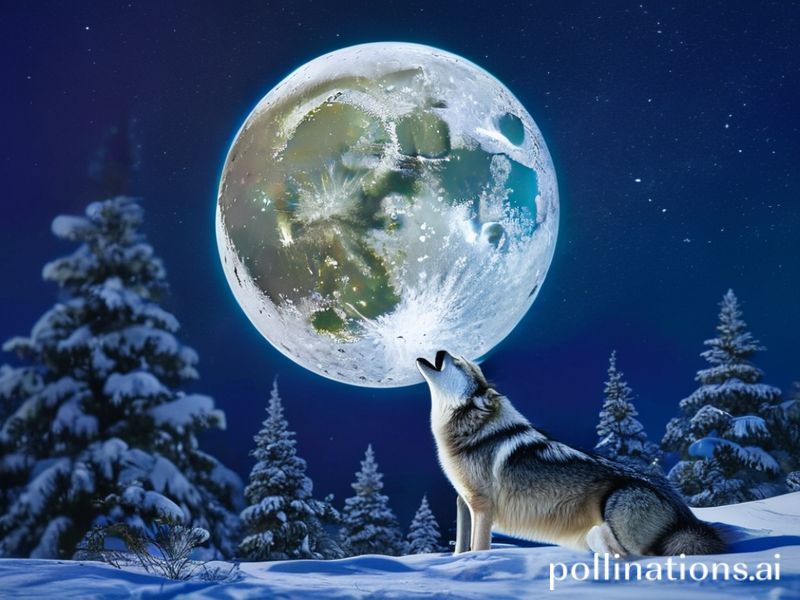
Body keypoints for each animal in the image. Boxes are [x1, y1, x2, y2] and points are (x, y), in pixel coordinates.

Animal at [416, 350, 725, 557]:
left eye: (458, 363)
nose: (442, 350)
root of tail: (684, 510)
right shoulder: (463, 502)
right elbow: (460, 547)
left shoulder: (482, 507)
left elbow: (479, 548)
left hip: (619, 517)